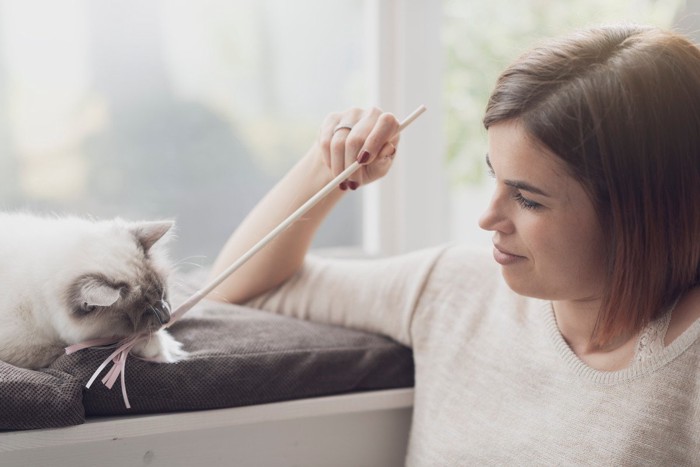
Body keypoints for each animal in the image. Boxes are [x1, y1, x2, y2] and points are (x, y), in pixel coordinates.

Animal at [0, 212, 187, 370]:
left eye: (163, 295)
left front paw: (171, 345)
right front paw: (158, 347)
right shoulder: (28, 348)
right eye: (145, 312)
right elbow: (104, 344)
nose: (166, 317)